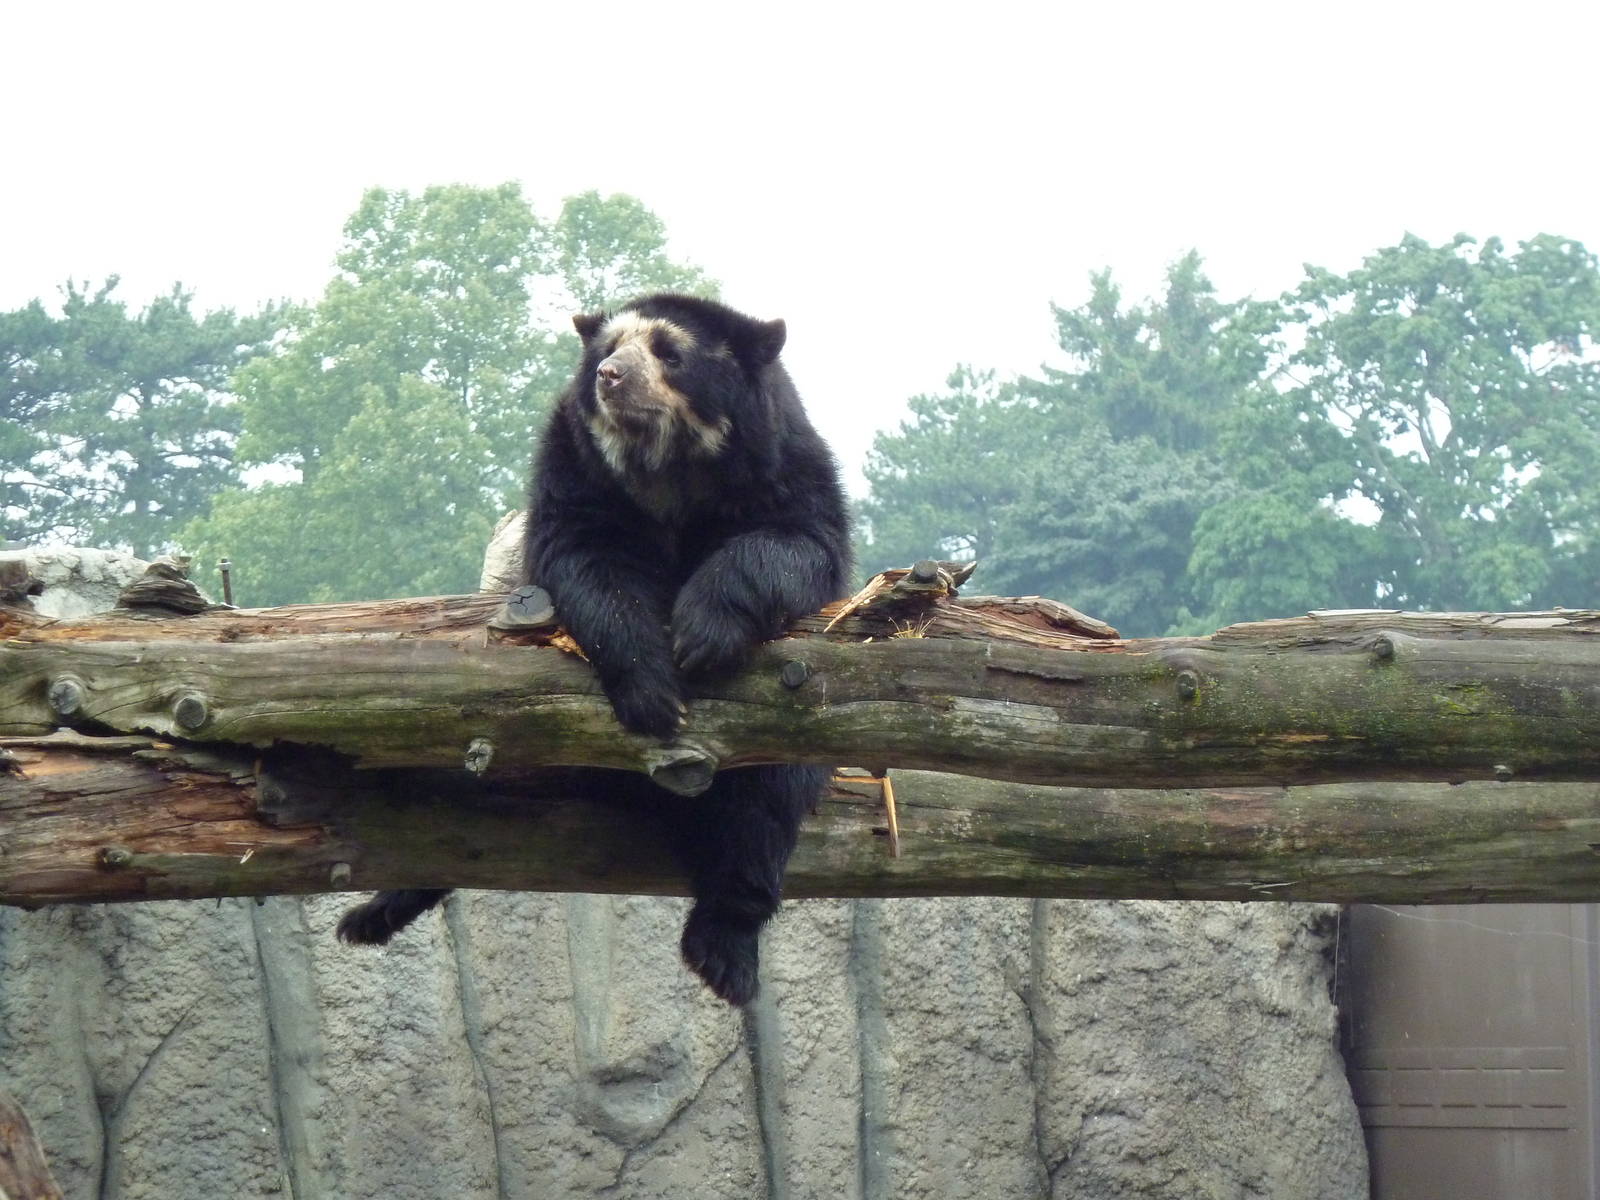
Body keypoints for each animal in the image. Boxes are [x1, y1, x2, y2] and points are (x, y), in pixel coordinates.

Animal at [338, 293, 852, 1006]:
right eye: (608, 346)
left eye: (669, 351)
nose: (611, 376)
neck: (667, 468)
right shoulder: (576, 471)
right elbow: (588, 561)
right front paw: (655, 690)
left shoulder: (780, 461)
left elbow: (797, 541)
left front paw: (700, 633)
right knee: (440, 808)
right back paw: (375, 911)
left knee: (767, 806)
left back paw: (723, 952)